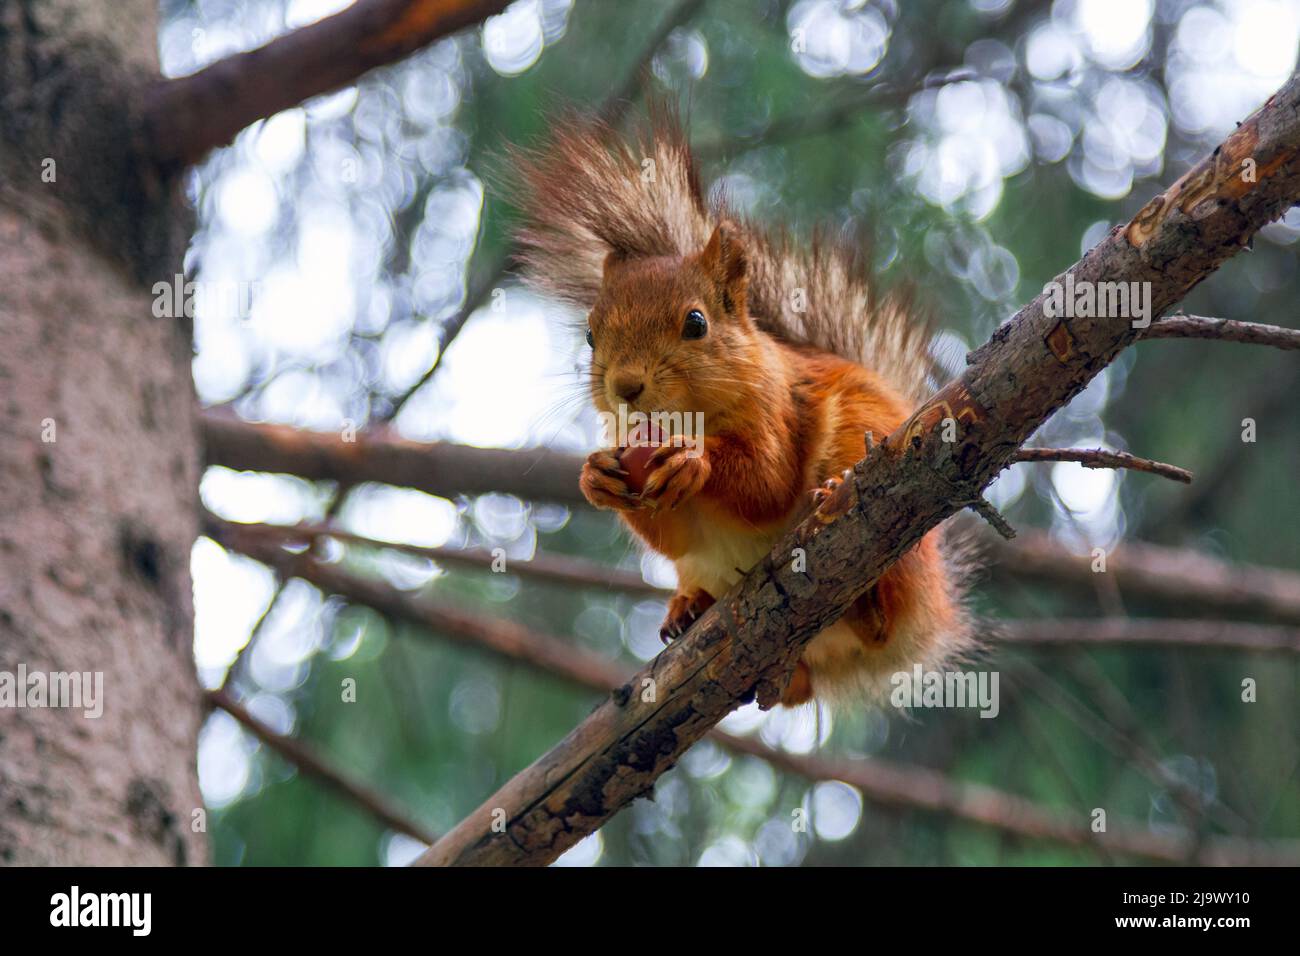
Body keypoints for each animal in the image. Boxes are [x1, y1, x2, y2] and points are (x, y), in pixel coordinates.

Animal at [509, 106, 971, 707]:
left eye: (696, 323)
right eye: (590, 336)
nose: (626, 386)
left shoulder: (777, 412)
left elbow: (766, 481)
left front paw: (693, 460)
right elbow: (674, 532)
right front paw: (596, 476)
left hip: (873, 468)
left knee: (881, 617)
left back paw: (865, 596)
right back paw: (691, 609)